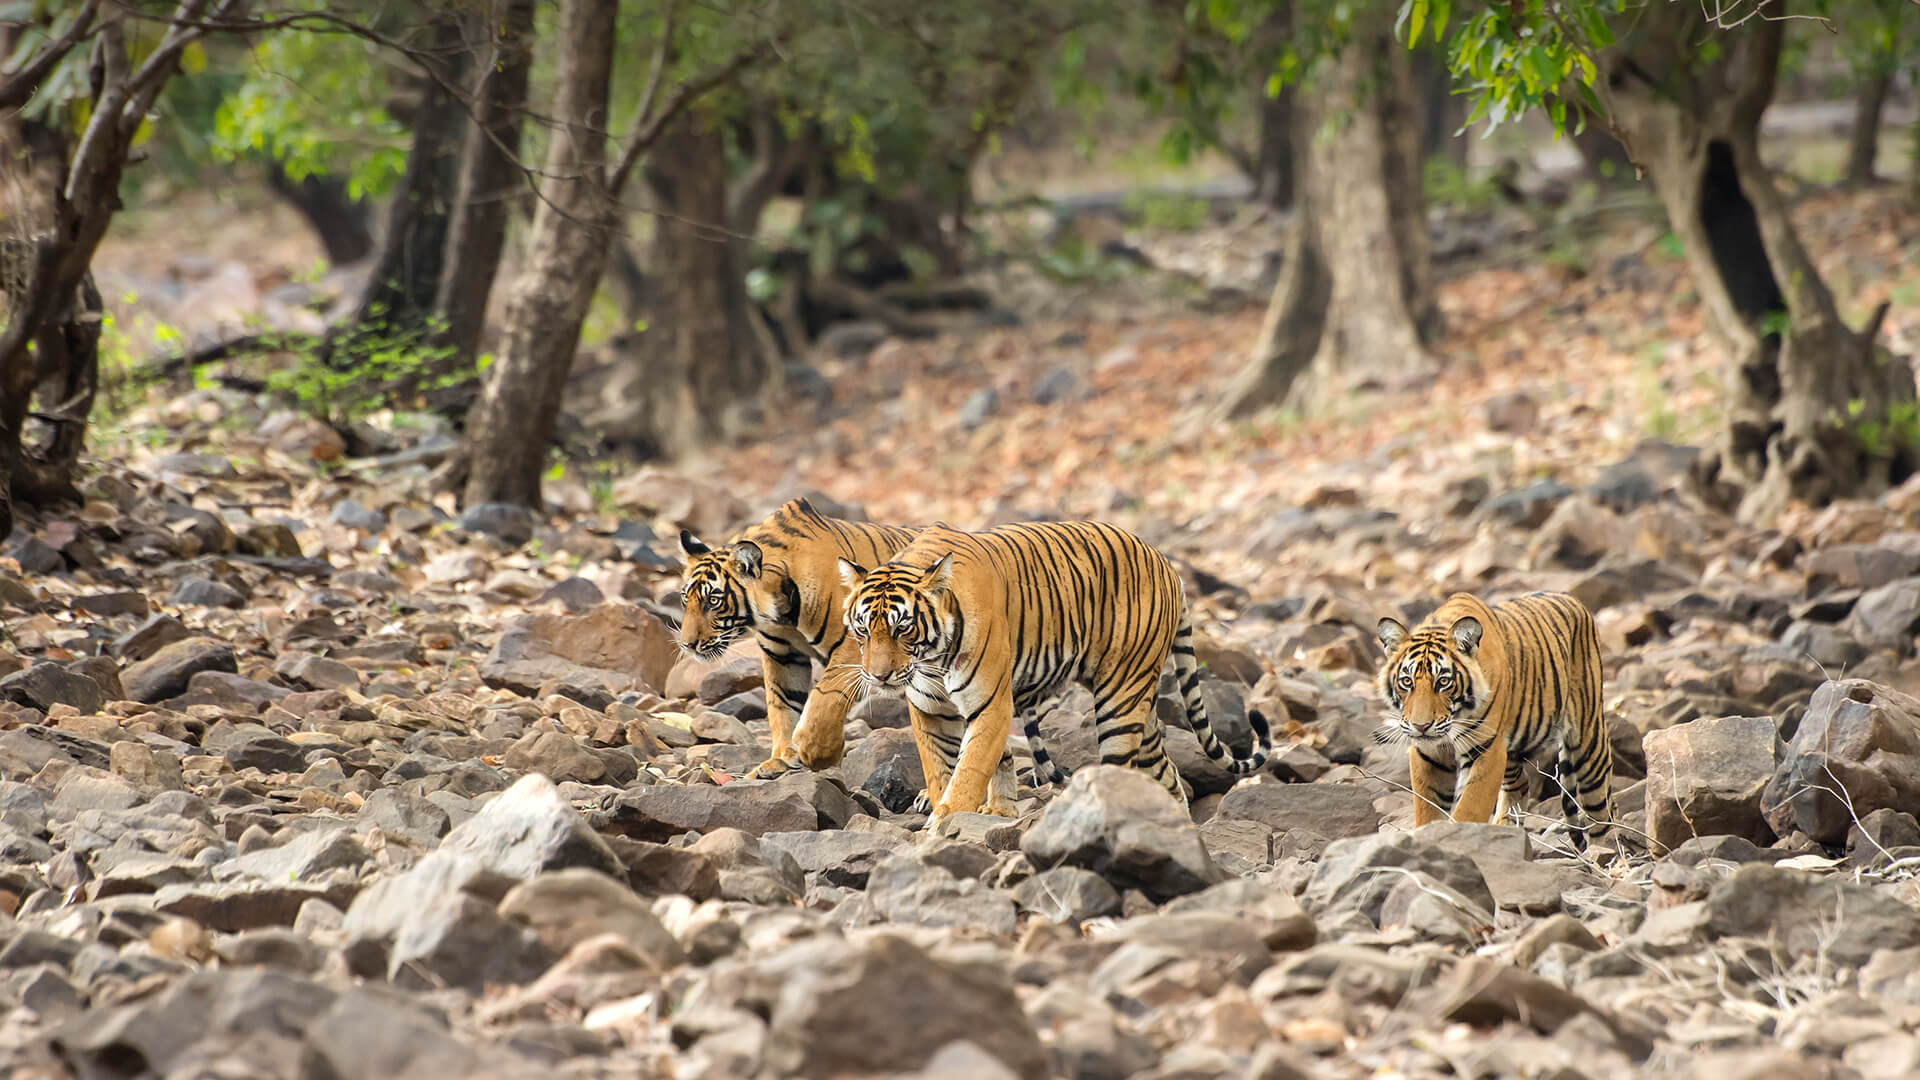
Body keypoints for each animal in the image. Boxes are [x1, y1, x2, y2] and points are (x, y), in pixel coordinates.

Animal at [835, 519, 1274, 829]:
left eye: (902, 629)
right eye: (863, 630)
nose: (879, 677)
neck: (932, 657)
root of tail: (1166, 562)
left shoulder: (990, 704)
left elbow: (969, 769)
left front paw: (944, 822)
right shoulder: (929, 709)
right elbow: (942, 769)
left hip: (1120, 698)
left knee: (1120, 769)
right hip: (1140, 703)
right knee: (1166, 773)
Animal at [1375, 590, 1613, 835]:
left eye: (1443, 682)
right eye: (1406, 681)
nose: (1421, 726)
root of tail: (1572, 598)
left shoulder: (1486, 750)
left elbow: (1469, 808)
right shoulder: (1428, 754)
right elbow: (1427, 811)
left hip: (1589, 746)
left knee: (1603, 812)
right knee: (1520, 784)